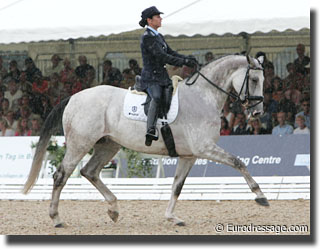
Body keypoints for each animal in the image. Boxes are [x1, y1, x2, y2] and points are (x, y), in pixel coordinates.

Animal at [21, 54, 268, 227]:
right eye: (254, 79)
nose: (257, 112)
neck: (202, 96)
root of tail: (73, 97)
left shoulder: (189, 155)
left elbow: (177, 186)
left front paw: (172, 217)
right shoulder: (205, 148)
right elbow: (238, 162)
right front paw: (260, 196)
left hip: (108, 145)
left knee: (89, 172)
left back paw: (114, 210)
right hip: (79, 144)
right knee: (61, 175)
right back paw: (56, 219)